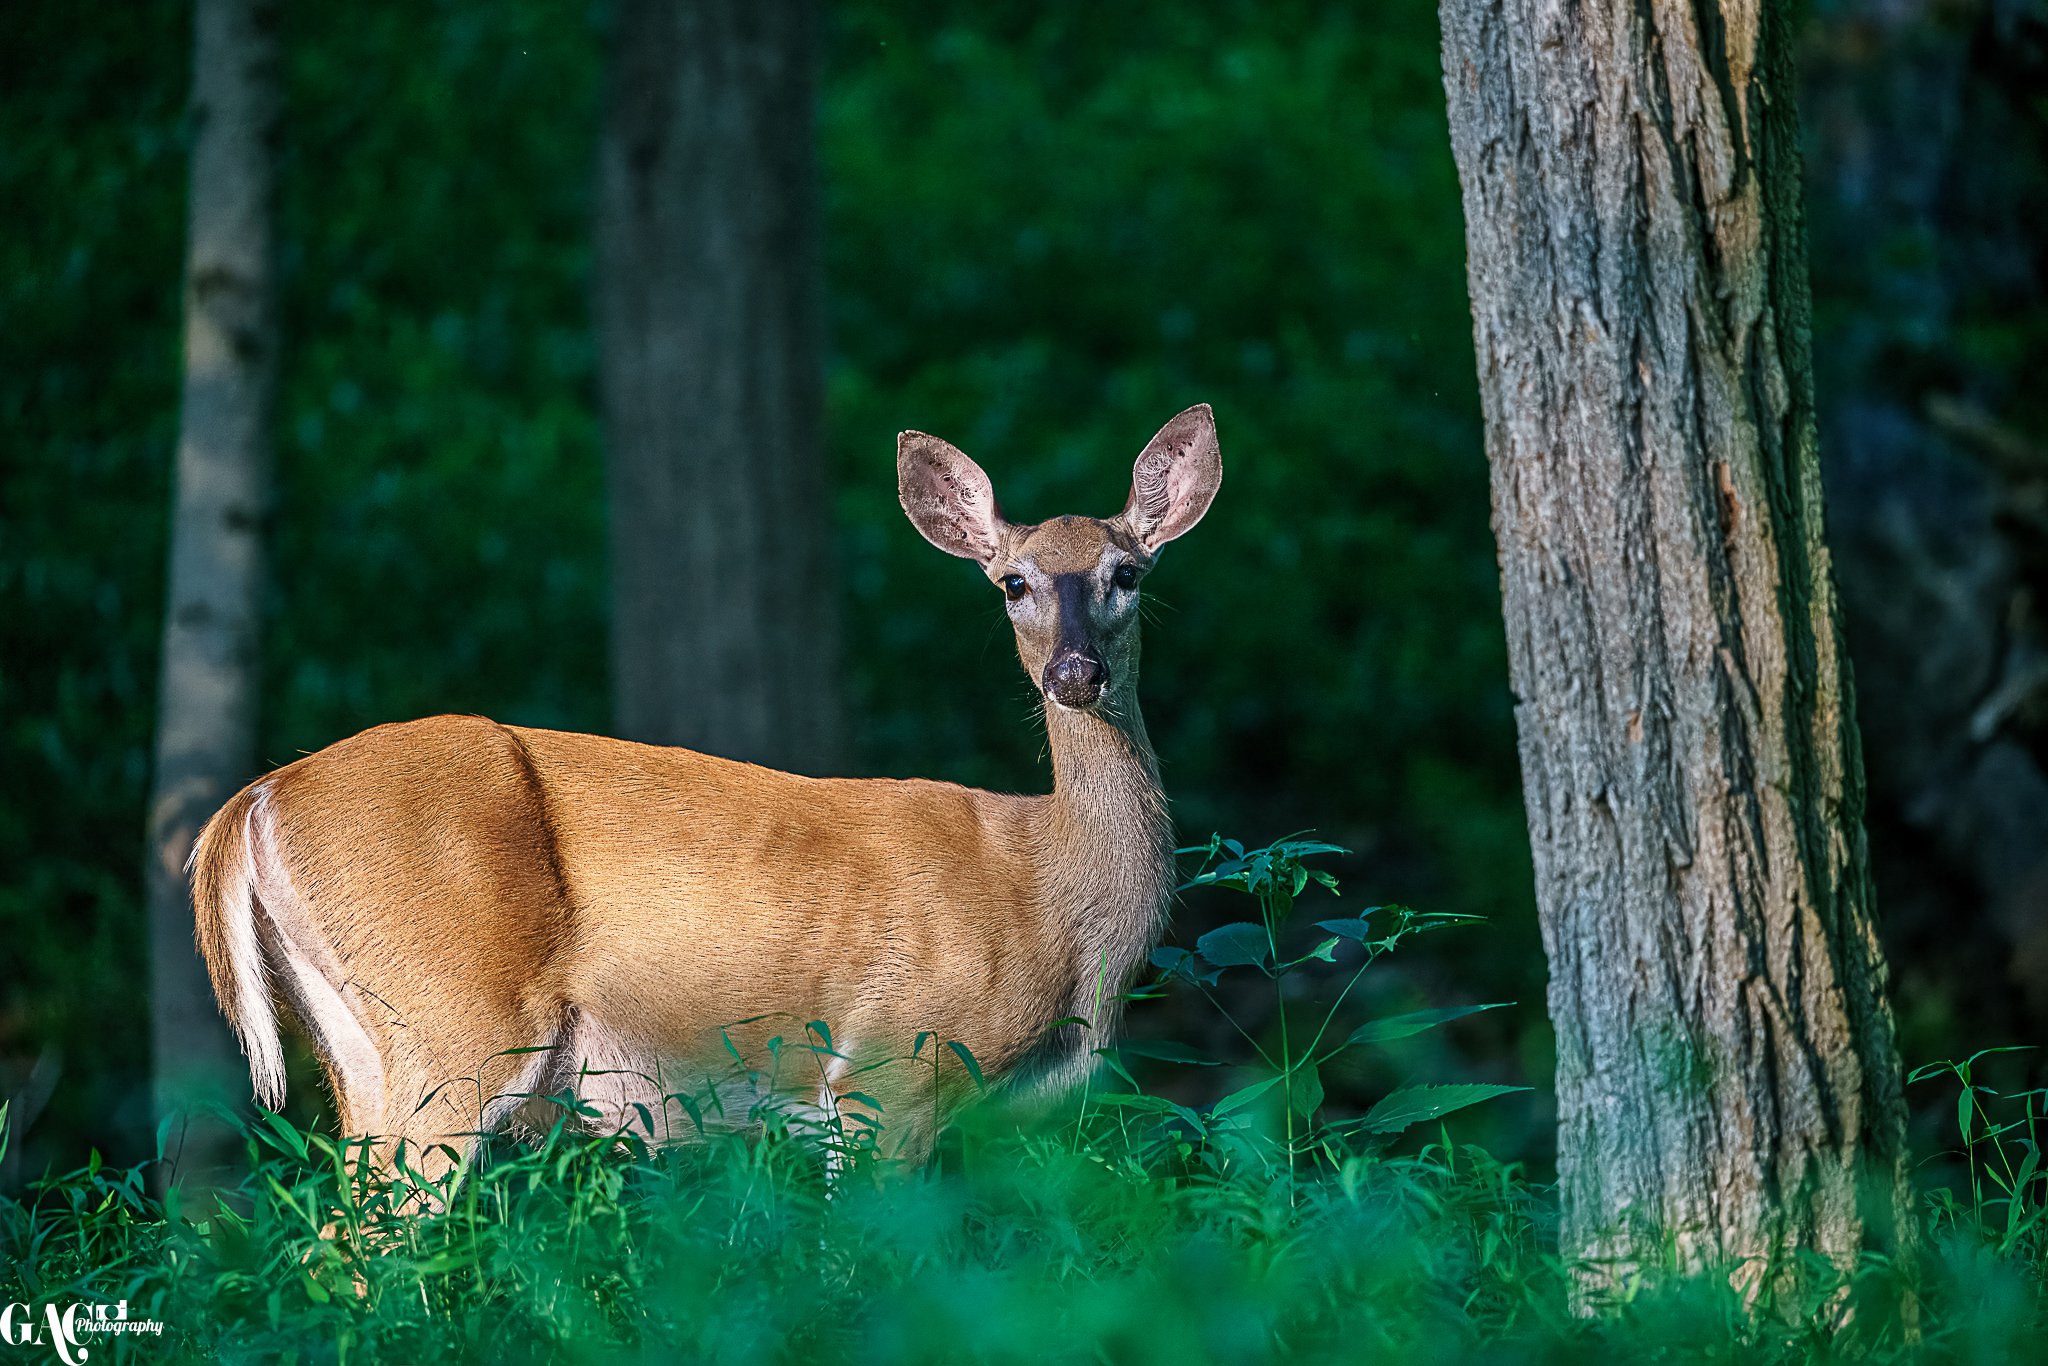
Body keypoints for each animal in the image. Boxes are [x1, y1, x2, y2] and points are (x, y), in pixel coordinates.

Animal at [188, 404, 1222, 1186]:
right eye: (1012, 582)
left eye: (1128, 573)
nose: (1075, 674)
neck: (1051, 893)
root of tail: (258, 798)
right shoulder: (893, 1066)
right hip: (454, 1026)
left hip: (361, 1051)